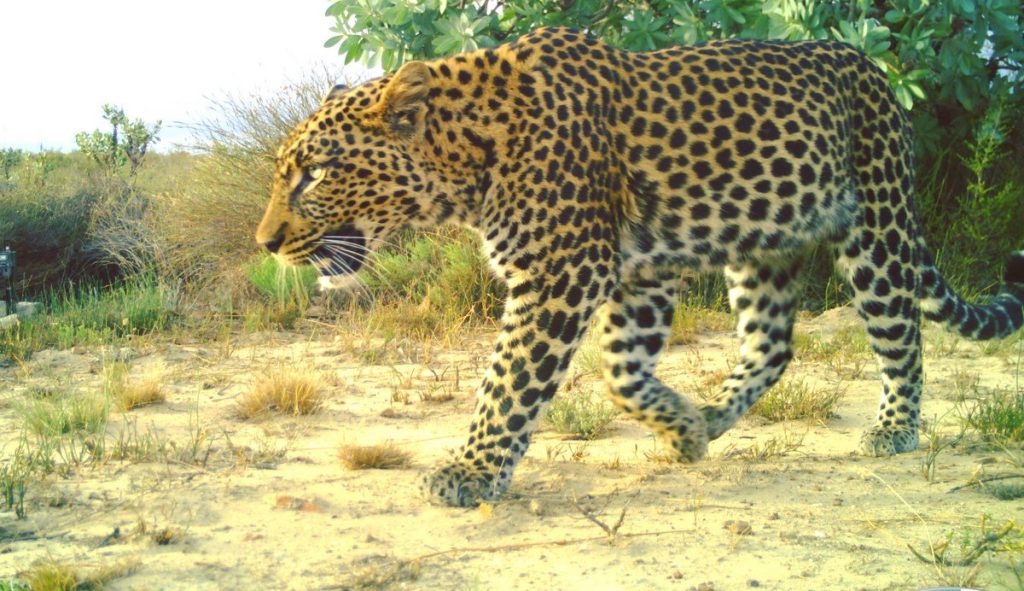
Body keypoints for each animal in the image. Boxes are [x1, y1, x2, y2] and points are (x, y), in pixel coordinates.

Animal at [256, 27, 1024, 507]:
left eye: (316, 173)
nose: (266, 242)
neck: (469, 157)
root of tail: (877, 74)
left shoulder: (563, 272)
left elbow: (508, 383)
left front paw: (470, 472)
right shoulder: (637, 274)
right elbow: (623, 371)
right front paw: (682, 428)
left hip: (877, 227)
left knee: (903, 335)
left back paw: (895, 429)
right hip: (762, 246)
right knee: (774, 346)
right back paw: (712, 417)